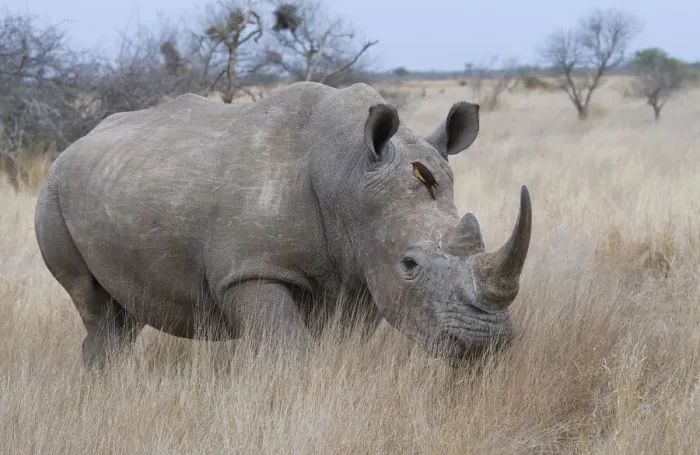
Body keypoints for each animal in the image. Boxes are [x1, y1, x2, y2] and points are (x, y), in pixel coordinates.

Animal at [34, 81, 532, 368]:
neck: (349, 173)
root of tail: (74, 144)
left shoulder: (363, 267)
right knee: (96, 308)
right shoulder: (251, 269)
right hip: (52, 193)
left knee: (125, 312)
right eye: (409, 264)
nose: (488, 345)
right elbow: (290, 351)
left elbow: (345, 347)